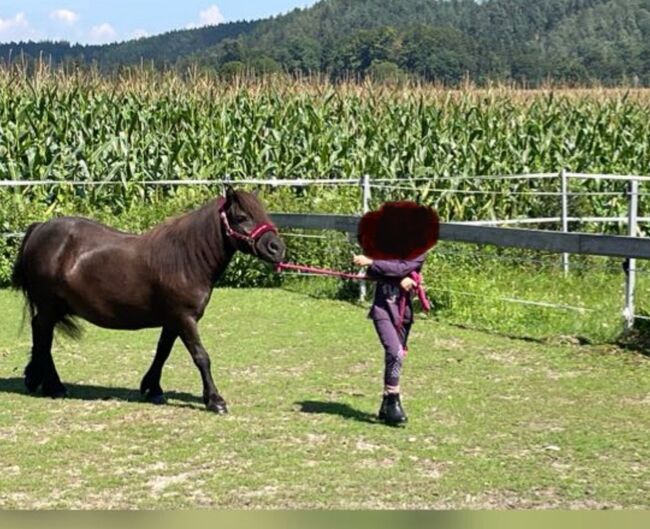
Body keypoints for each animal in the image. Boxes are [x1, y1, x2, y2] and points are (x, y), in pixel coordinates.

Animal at [11, 186, 284, 412]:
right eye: (242, 217)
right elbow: (201, 356)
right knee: (43, 336)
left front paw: (152, 388)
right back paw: (54, 386)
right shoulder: (184, 318)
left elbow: (162, 351)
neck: (185, 257)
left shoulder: (173, 320)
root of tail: (39, 229)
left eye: (264, 213)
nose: (277, 248)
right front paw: (215, 400)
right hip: (48, 307)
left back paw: (38, 379)